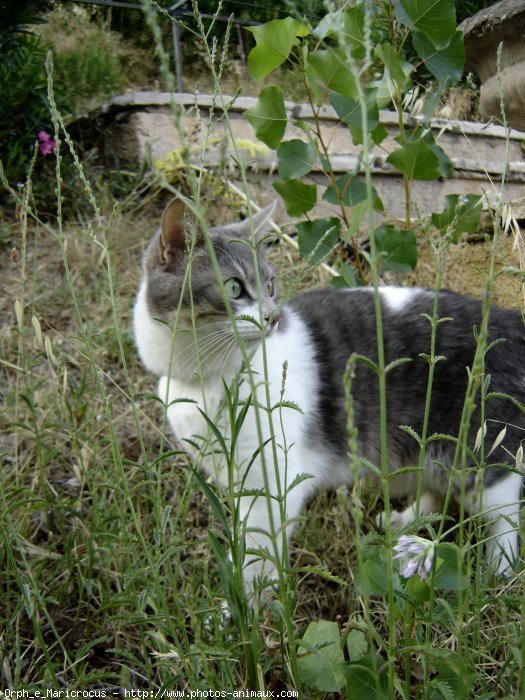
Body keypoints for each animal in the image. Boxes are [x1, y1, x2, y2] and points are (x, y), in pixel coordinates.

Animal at [132, 198, 524, 596]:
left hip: (477, 452)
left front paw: (247, 601)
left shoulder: (270, 486)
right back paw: (407, 525)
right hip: (430, 450)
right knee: (439, 490)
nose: (272, 317)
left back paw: (498, 572)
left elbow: (257, 554)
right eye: (234, 288)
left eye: (270, 285)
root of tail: (510, 320)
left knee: (503, 514)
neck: (211, 379)